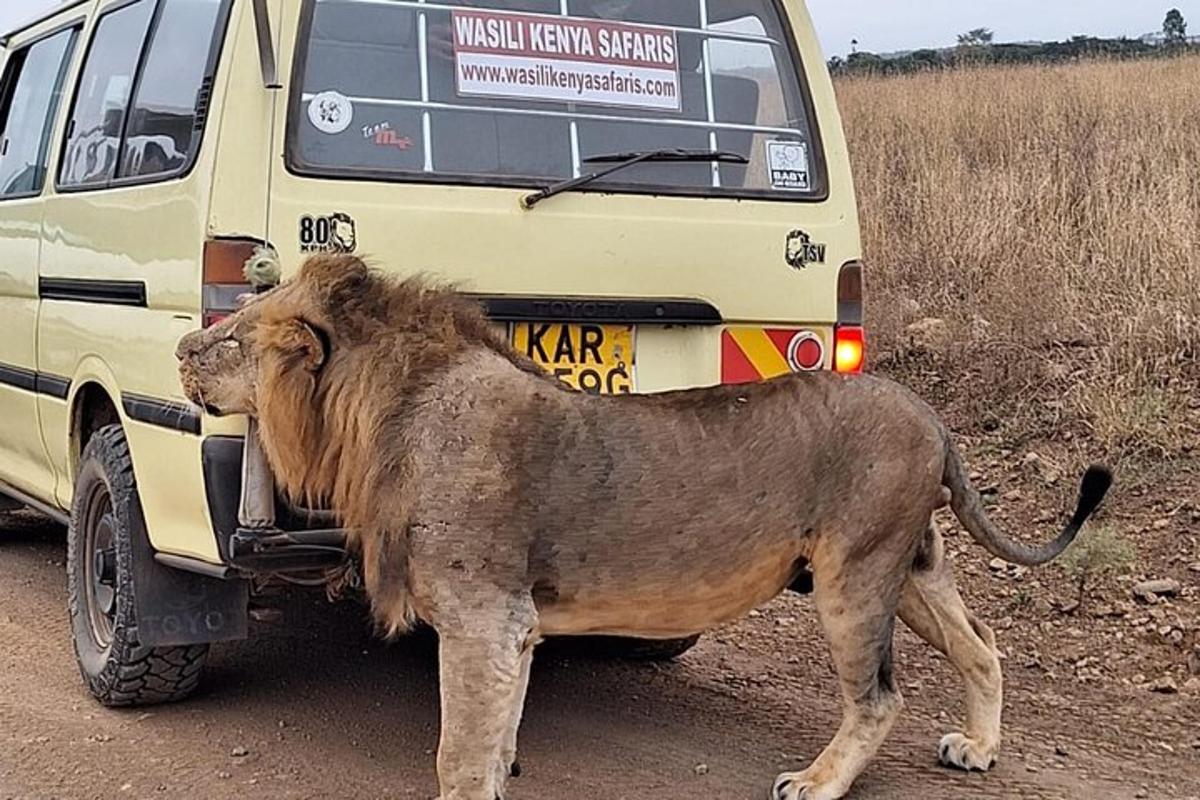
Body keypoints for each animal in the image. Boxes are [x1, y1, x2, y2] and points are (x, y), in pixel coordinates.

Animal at [174, 256, 1108, 800]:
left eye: (233, 336)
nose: (182, 347)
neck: (386, 407)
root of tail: (932, 416)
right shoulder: (511, 629)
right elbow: (494, 743)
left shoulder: (482, 616)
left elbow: (459, 754)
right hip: (911, 563)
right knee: (982, 644)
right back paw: (978, 749)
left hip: (856, 571)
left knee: (879, 696)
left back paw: (814, 782)